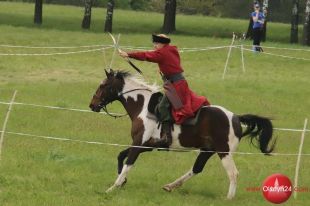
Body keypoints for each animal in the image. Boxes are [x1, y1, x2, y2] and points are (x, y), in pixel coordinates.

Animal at [88, 69, 274, 200]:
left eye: (103, 85)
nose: (92, 105)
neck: (143, 106)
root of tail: (236, 117)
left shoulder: (139, 144)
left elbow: (128, 164)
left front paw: (112, 188)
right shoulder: (145, 145)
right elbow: (121, 156)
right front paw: (121, 182)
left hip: (224, 152)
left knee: (233, 174)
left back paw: (228, 198)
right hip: (207, 150)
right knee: (196, 169)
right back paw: (170, 186)